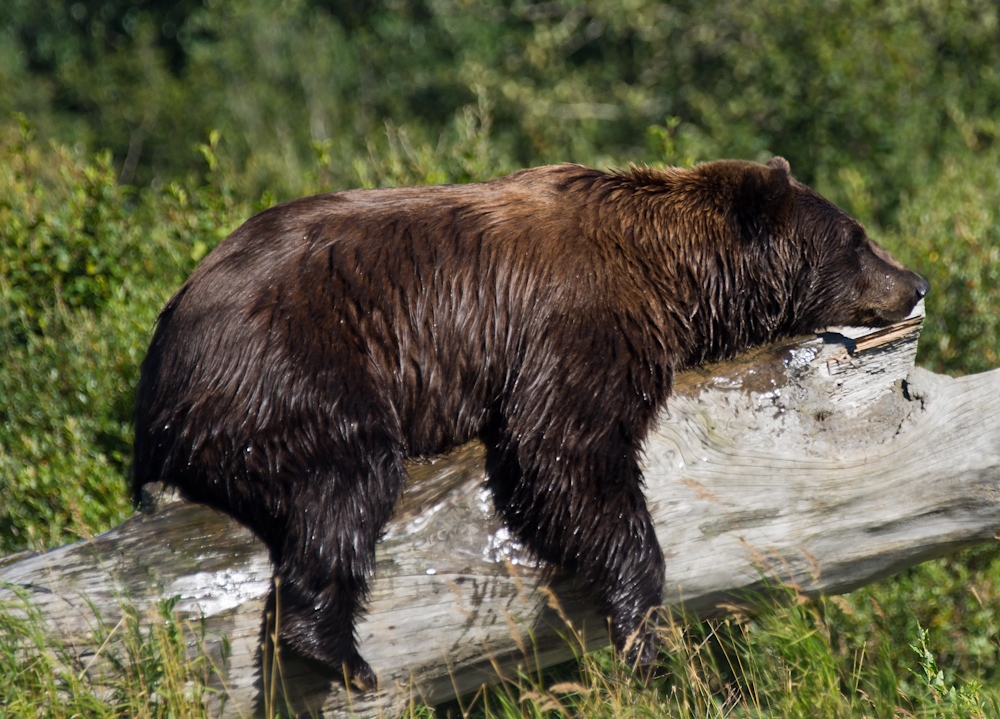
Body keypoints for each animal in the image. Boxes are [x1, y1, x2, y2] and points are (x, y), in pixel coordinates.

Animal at [133, 156, 928, 688]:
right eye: (857, 237)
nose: (916, 280)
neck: (674, 278)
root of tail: (168, 331)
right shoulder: (576, 316)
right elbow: (563, 447)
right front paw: (644, 629)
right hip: (294, 360)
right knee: (346, 477)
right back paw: (338, 650)